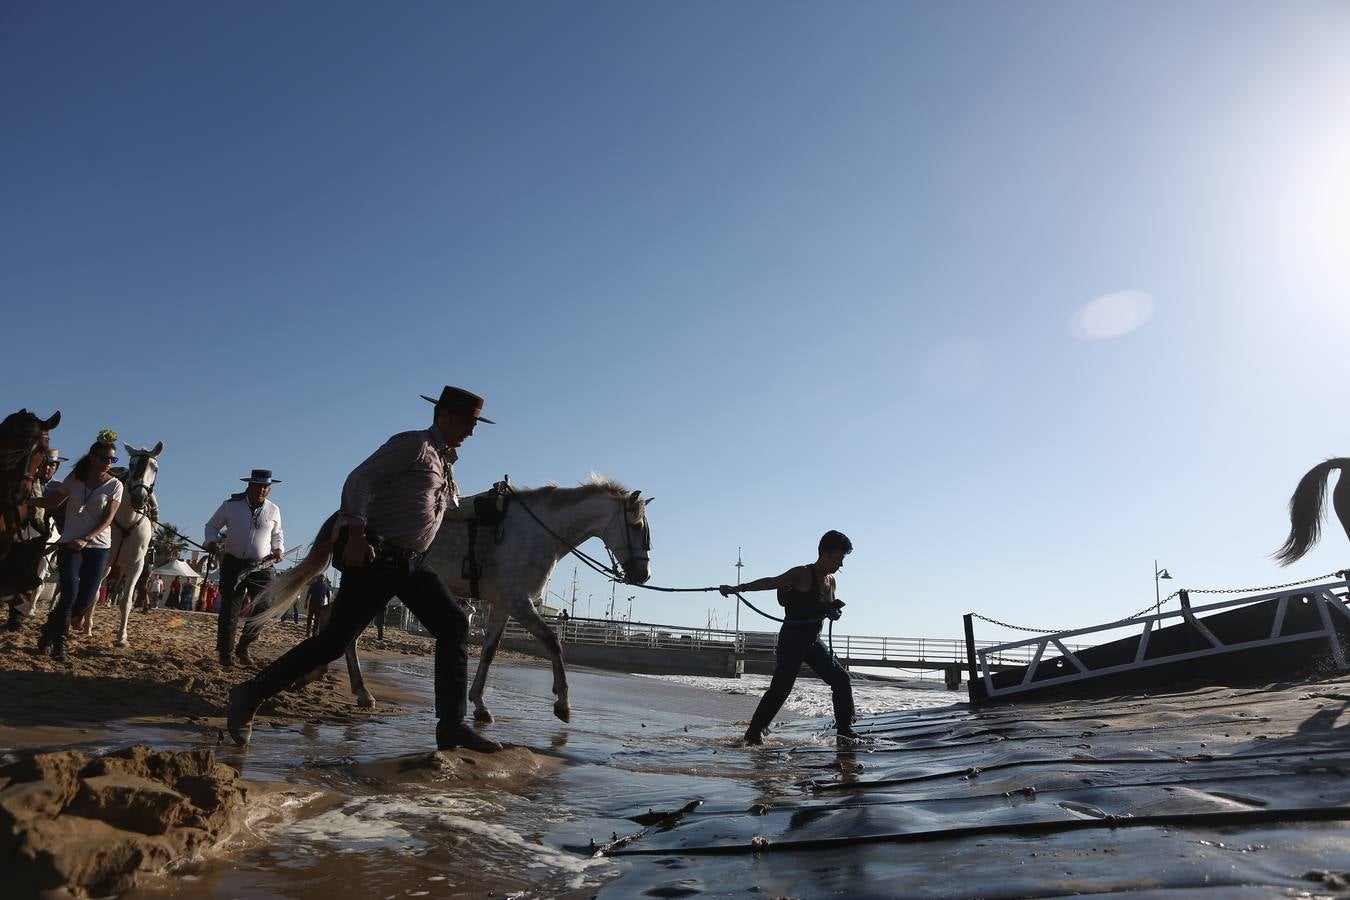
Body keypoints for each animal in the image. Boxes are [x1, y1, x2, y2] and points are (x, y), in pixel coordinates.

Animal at [83, 442, 162, 639]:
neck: (127, 520)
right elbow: (94, 594)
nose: (139, 497)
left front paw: (122, 637)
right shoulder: (103, 561)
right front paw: (87, 627)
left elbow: (126, 601)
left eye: (155, 468)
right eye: (132, 465)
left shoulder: (136, 565)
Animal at [255, 477, 656, 723]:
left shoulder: (503, 605)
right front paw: (563, 702)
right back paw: (351, 687)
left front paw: (479, 703)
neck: (537, 531)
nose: (644, 574)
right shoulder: (519, 602)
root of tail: (345, 518)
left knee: (341, 631)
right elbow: (553, 643)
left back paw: (344, 685)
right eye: (638, 527)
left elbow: (490, 652)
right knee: (339, 630)